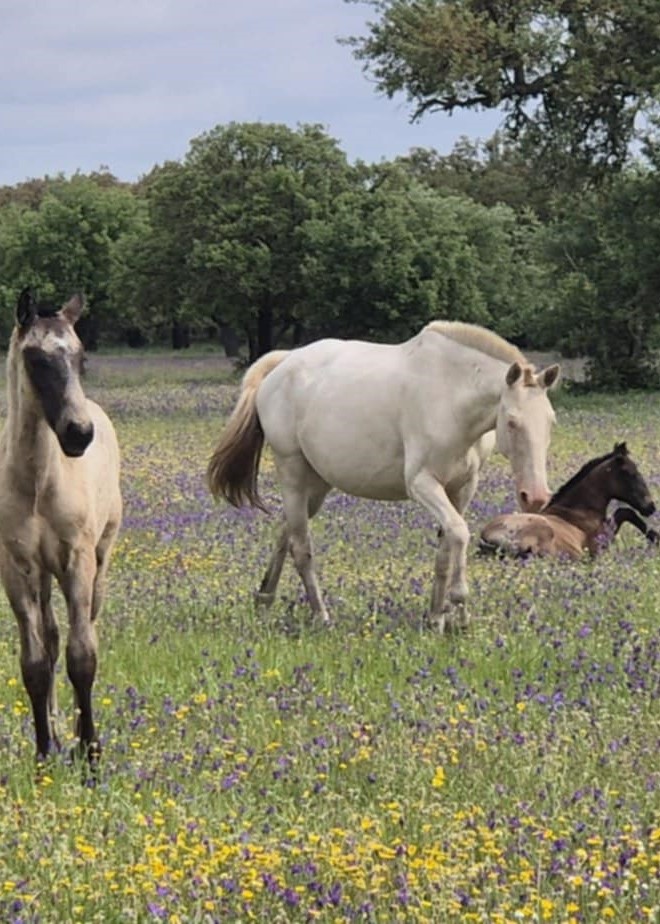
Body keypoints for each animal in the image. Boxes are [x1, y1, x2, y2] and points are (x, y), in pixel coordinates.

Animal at [0, 289, 122, 765]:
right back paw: (54, 730)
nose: (78, 433)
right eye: (35, 359)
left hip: (100, 561)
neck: (39, 483)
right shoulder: (17, 568)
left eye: (81, 356)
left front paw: (90, 753)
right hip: (43, 575)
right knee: (50, 640)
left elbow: (82, 656)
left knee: (87, 626)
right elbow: (36, 663)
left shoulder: (77, 560)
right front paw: (42, 753)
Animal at [208, 321, 559, 631]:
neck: (450, 395)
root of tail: (283, 364)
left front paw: (438, 618)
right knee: (301, 548)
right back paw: (321, 616)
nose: (535, 497)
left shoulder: (461, 488)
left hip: (316, 486)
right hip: (293, 474)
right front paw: (458, 611)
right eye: (512, 421)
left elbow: (446, 549)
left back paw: (264, 598)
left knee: (286, 534)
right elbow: (460, 534)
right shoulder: (422, 484)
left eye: (551, 420)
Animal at [479, 442, 657, 559]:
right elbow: (625, 512)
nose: (651, 507)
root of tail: (486, 537)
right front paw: (656, 536)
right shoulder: (600, 543)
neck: (578, 510)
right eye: (631, 474)